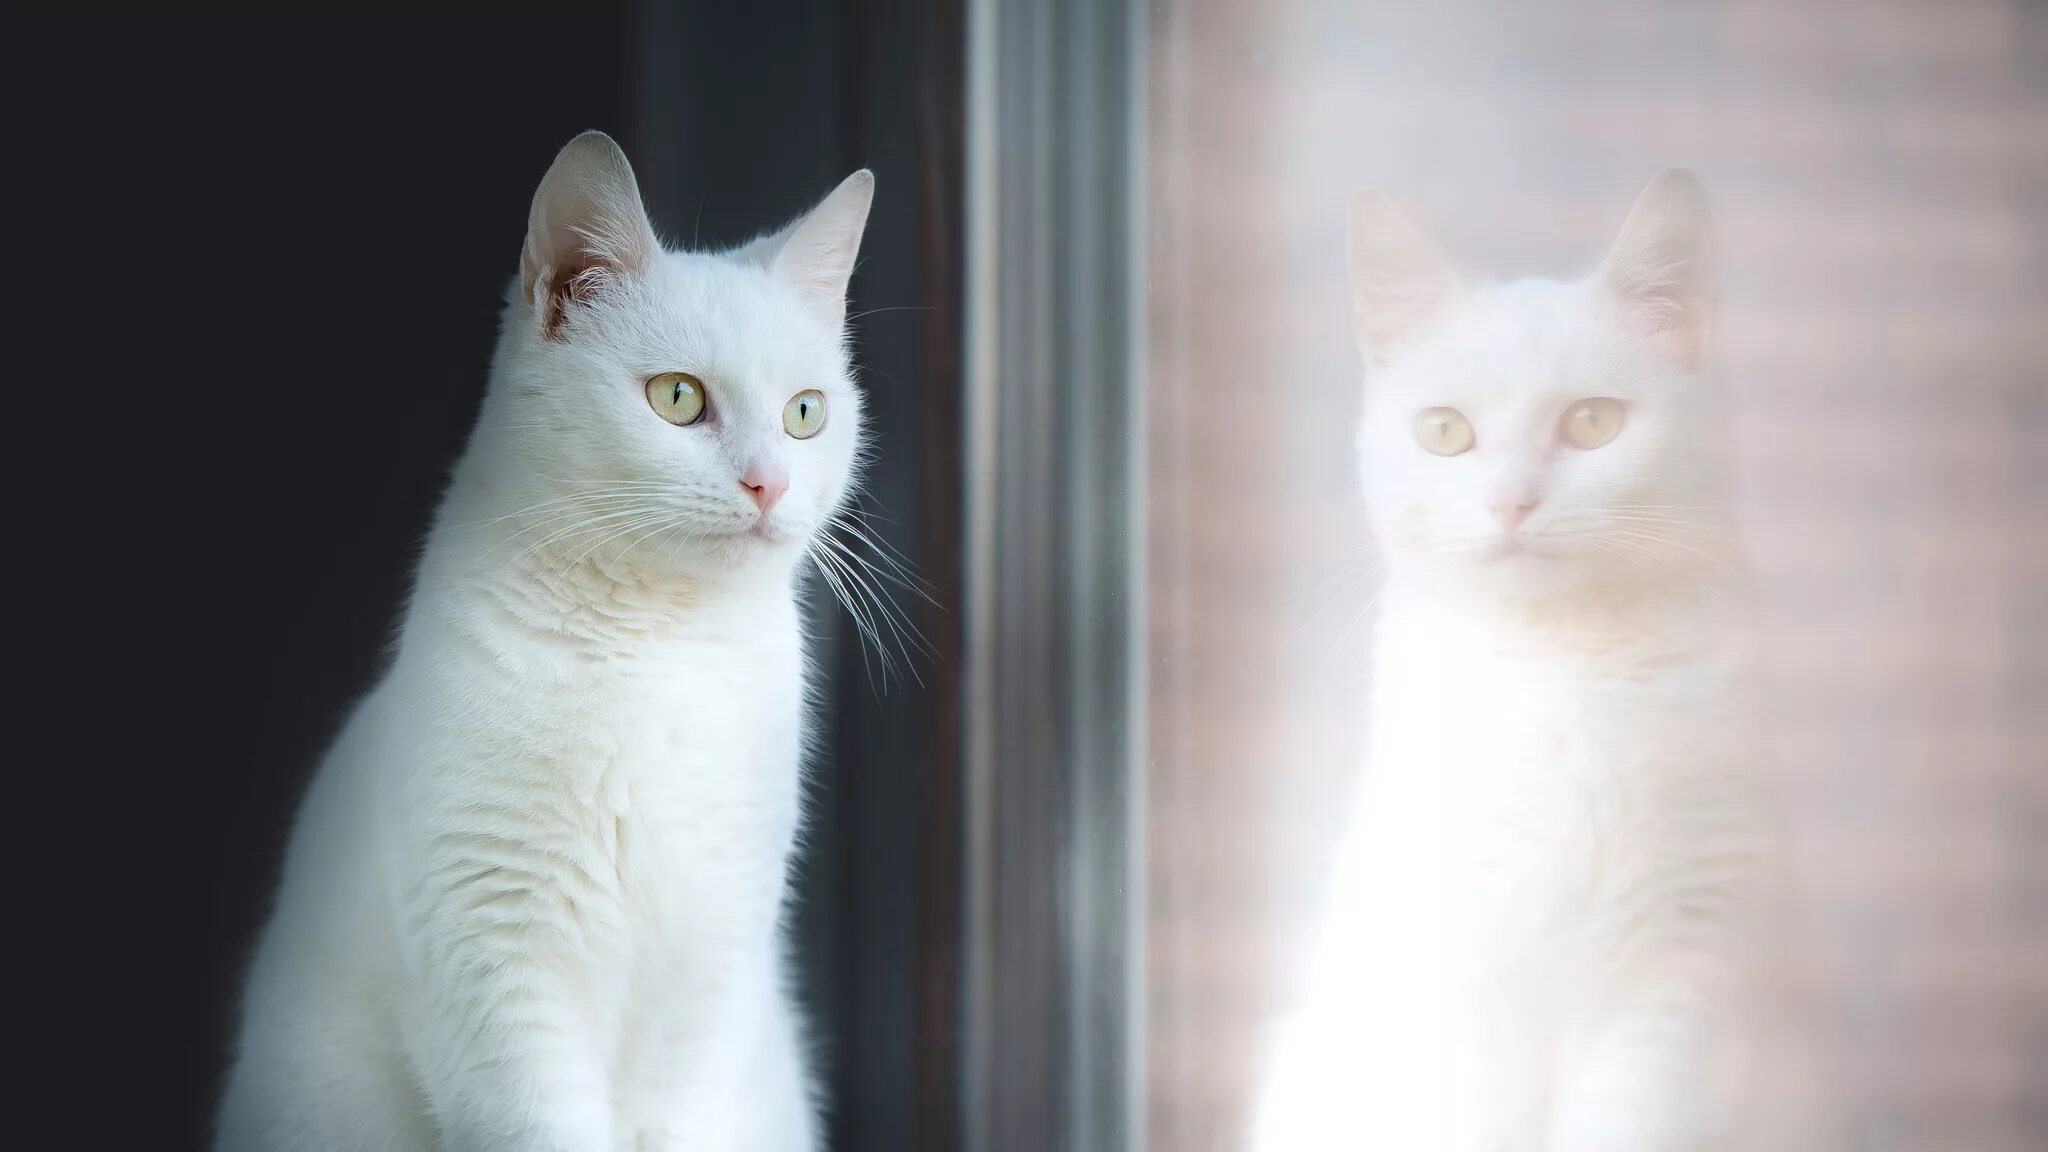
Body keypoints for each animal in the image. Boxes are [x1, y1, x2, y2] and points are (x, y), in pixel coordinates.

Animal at [216, 130, 872, 1139]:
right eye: (677, 398)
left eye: (807, 413)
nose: (769, 483)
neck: (660, 648)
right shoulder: (499, 978)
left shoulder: (709, 989)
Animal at [1253, 172, 1769, 1147]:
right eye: (1445, 432)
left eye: (1594, 421)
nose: (1510, 503)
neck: (1562, 672)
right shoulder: (1458, 978)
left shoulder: (1673, 977)